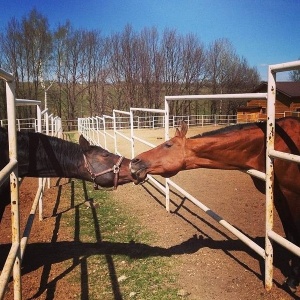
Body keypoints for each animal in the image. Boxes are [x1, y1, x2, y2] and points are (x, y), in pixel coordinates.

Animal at [130, 116, 300, 290]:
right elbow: (290, 236)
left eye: (168, 145)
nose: (135, 161)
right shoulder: (278, 198)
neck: (268, 148)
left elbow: (296, 237)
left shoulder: (292, 195)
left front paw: (293, 279)